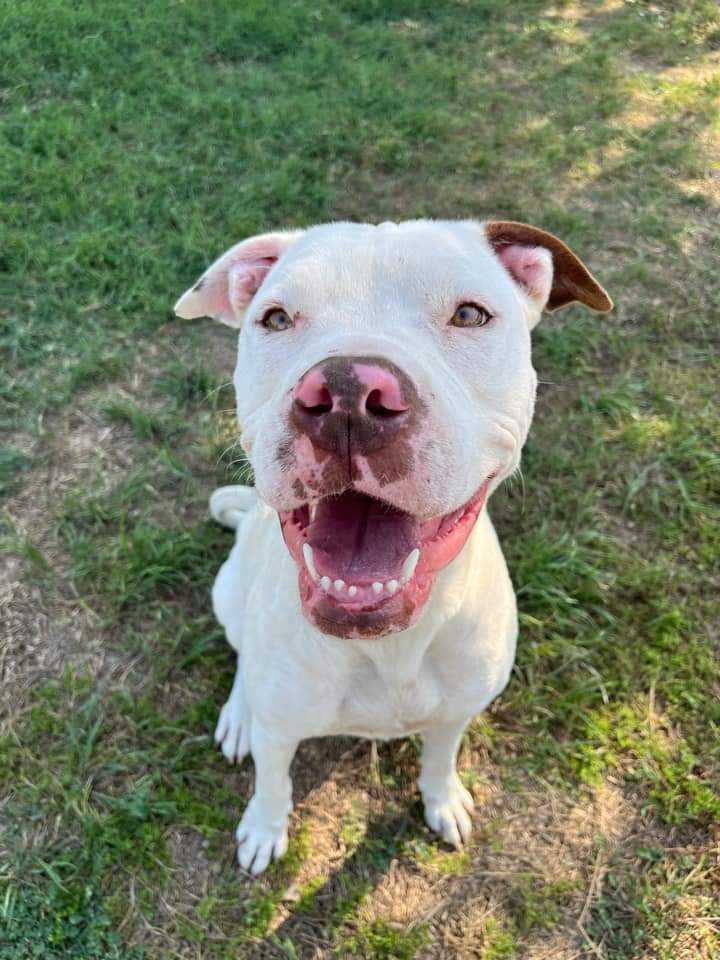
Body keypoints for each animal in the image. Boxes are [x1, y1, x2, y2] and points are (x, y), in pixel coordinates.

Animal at [173, 219, 608, 876]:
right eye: (276, 318)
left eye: (470, 314)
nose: (348, 394)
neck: (392, 643)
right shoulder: (281, 733)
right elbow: (273, 783)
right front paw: (264, 828)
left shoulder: (457, 711)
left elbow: (440, 757)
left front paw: (442, 799)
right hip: (227, 594)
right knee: (243, 655)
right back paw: (239, 713)